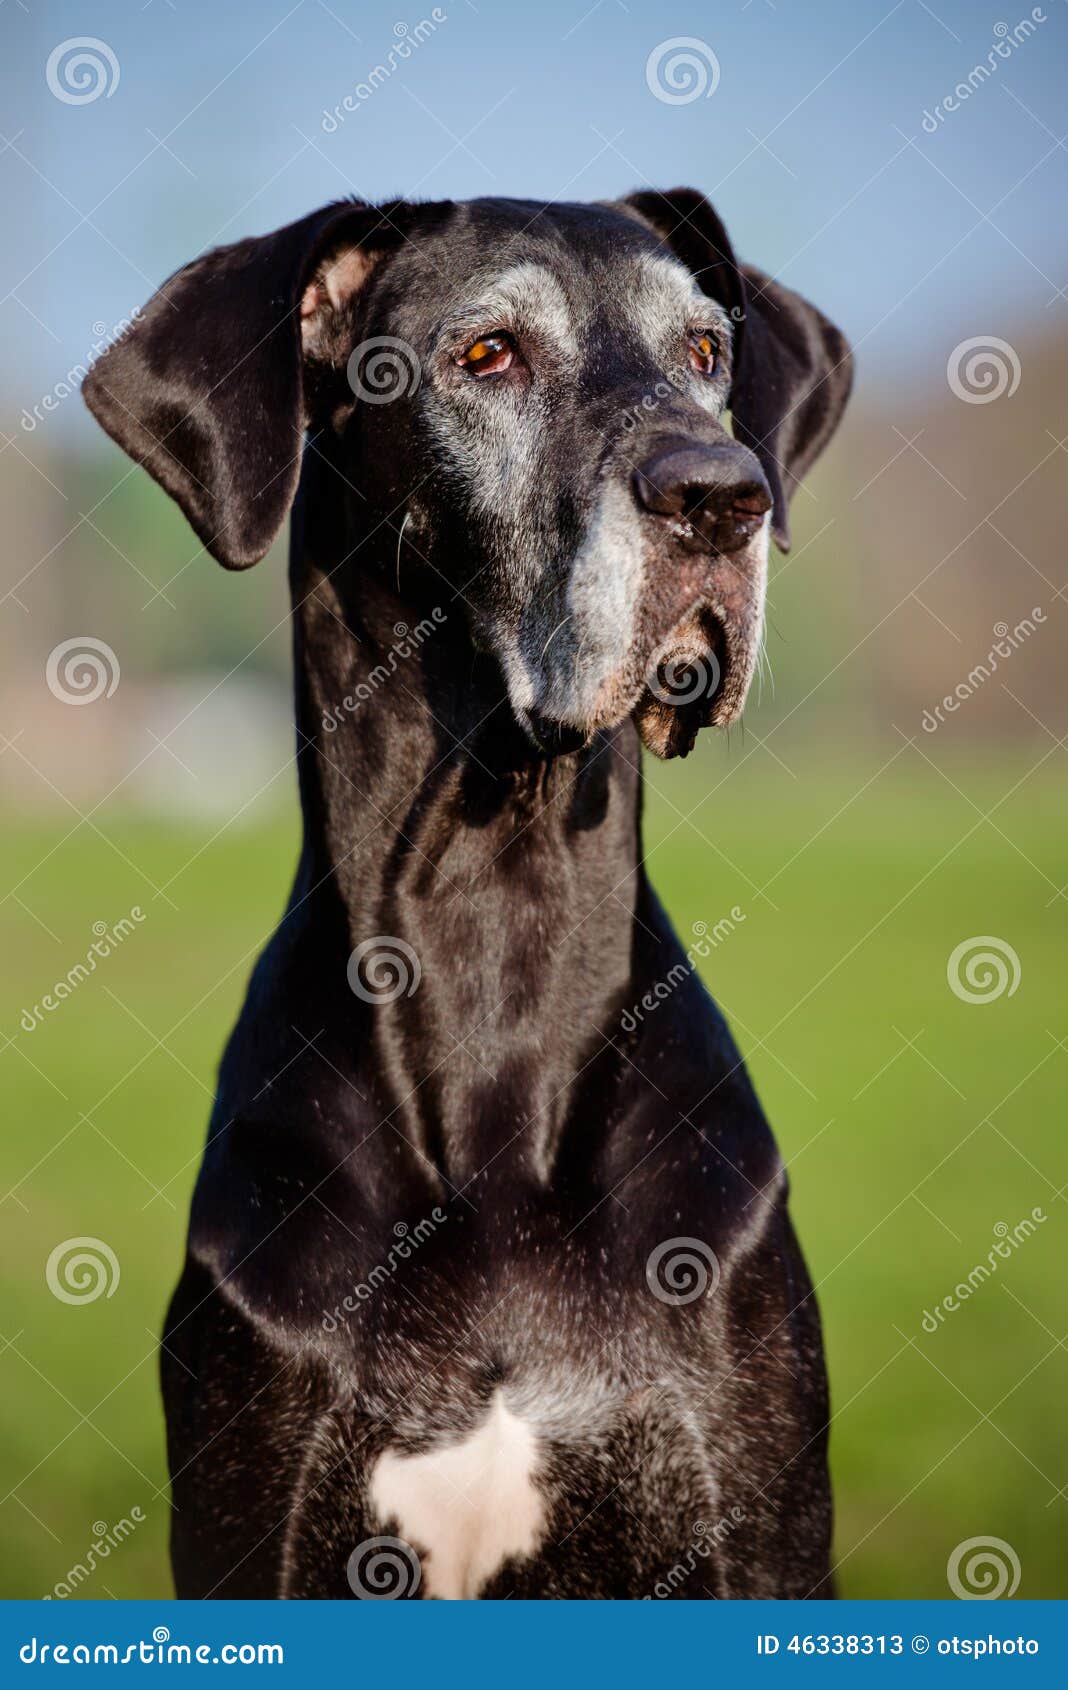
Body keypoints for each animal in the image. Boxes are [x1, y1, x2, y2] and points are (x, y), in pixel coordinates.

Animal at [81, 188, 851, 1595]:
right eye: (488, 355)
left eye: (708, 352)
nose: (723, 496)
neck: (497, 926)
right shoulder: (258, 1530)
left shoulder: (753, 1527)